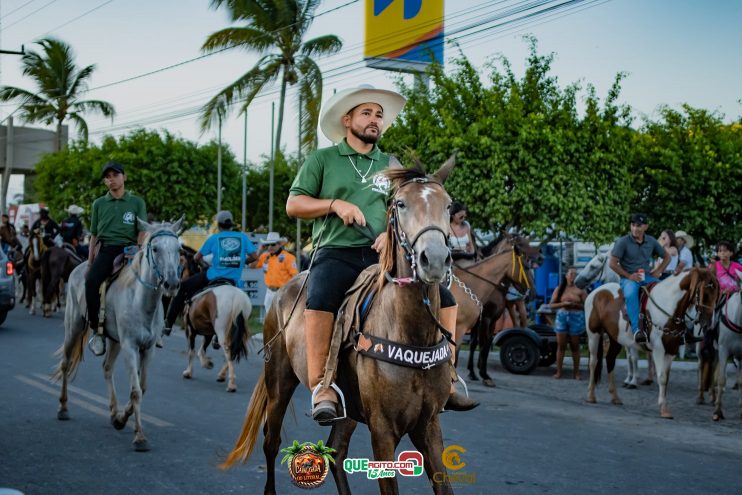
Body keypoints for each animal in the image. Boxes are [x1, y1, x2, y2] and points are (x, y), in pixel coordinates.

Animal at [53, 219, 184, 452]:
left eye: (179, 249)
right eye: (155, 248)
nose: (172, 283)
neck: (141, 301)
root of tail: (79, 267)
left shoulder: (148, 349)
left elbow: (142, 387)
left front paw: (122, 418)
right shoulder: (130, 347)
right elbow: (136, 391)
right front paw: (140, 437)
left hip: (114, 341)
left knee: (106, 368)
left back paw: (114, 412)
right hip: (74, 327)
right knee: (66, 364)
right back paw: (63, 408)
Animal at [221, 160, 464, 495]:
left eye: (448, 205)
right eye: (400, 204)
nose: (436, 260)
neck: (412, 335)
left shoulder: (428, 426)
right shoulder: (382, 429)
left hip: (346, 409)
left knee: (335, 452)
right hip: (279, 380)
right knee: (271, 441)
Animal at [588, 268, 720, 418]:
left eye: (716, 293)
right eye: (705, 292)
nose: (709, 323)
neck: (668, 305)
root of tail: (596, 291)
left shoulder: (671, 350)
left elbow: (666, 378)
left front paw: (665, 407)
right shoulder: (658, 350)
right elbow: (661, 377)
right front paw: (663, 408)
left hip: (615, 338)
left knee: (610, 360)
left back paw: (615, 397)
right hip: (593, 334)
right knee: (593, 362)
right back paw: (591, 396)